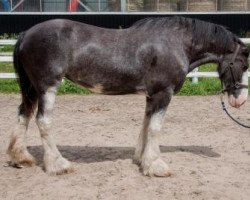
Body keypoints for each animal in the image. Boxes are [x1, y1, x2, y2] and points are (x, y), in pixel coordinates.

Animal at [6, 17, 249, 177]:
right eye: (244, 65)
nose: (240, 100)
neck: (176, 43)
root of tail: (27, 34)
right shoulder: (163, 93)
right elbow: (155, 128)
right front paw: (156, 166)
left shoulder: (152, 96)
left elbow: (146, 125)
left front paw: (142, 159)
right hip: (48, 87)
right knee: (43, 121)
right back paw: (58, 164)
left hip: (31, 89)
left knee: (23, 115)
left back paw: (21, 158)